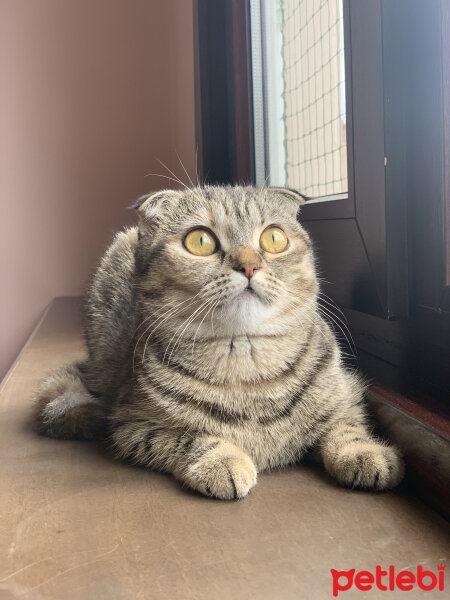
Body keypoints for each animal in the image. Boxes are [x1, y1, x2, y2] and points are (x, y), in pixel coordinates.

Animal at [33, 185, 402, 500]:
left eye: (274, 238)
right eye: (200, 241)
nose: (249, 265)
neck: (247, 359)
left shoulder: (349, 389)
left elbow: (346, 425)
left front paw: (363, 452)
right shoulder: (131, 425)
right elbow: (186, 437)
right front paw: (221, 460)